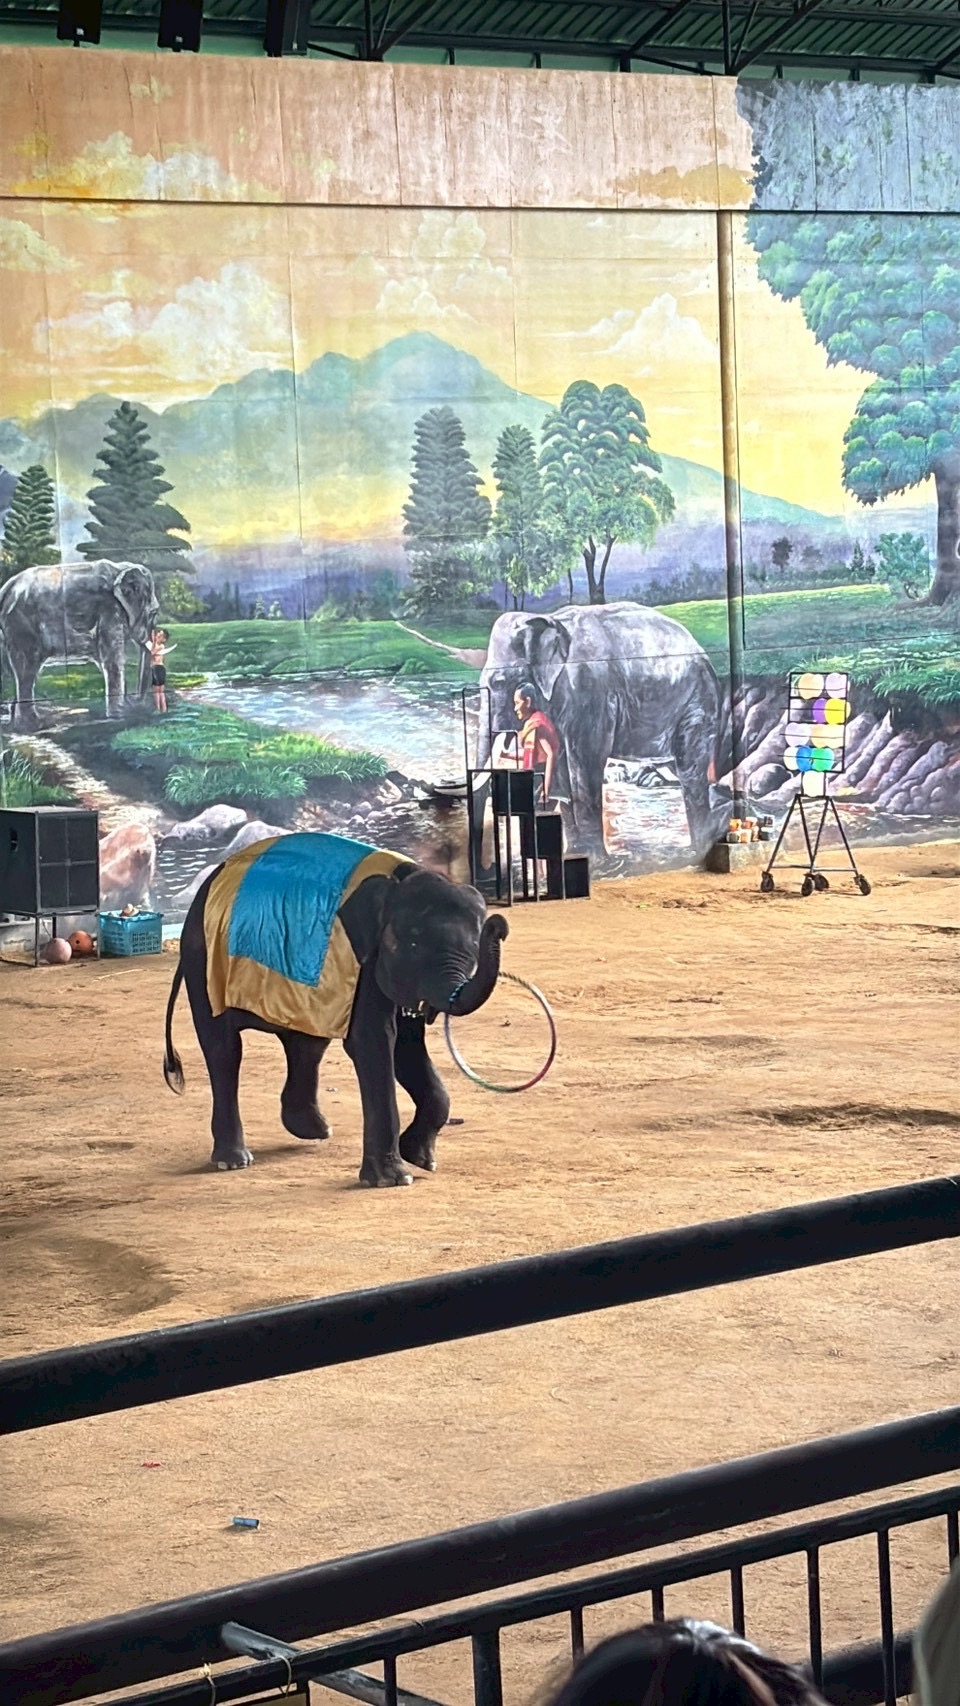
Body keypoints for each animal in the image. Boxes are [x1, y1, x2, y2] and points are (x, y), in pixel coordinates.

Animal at [0, 559, 159, 727]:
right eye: (154, 613)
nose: (136, 702)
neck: (121, 568)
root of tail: (5, 588)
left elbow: (103, 659)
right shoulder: (110, 609)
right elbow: (113, 659)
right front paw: (120, 716)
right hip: (21, 624)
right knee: (28, 667)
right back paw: (34, 724)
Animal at [163, 831, 508, 1187]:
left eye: (473, 948)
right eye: (413, 943)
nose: (499, 924)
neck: (399, 881)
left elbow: (406, 1046)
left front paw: (421, 1160)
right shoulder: (364, 961)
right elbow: (375, 1043)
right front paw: (392, 1180)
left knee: (308, 1043)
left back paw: (314, 1130)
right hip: (203, 959)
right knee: (224, 1050)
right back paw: (233, 1160)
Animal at [476, 602, 723, 858]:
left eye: (499, 682)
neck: (549, 619)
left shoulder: (589, 692)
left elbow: (586, 762)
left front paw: (596, 860)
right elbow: (561, 762)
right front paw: (575, 853)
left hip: (698, 703)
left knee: (689, 769)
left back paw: (697, 850)